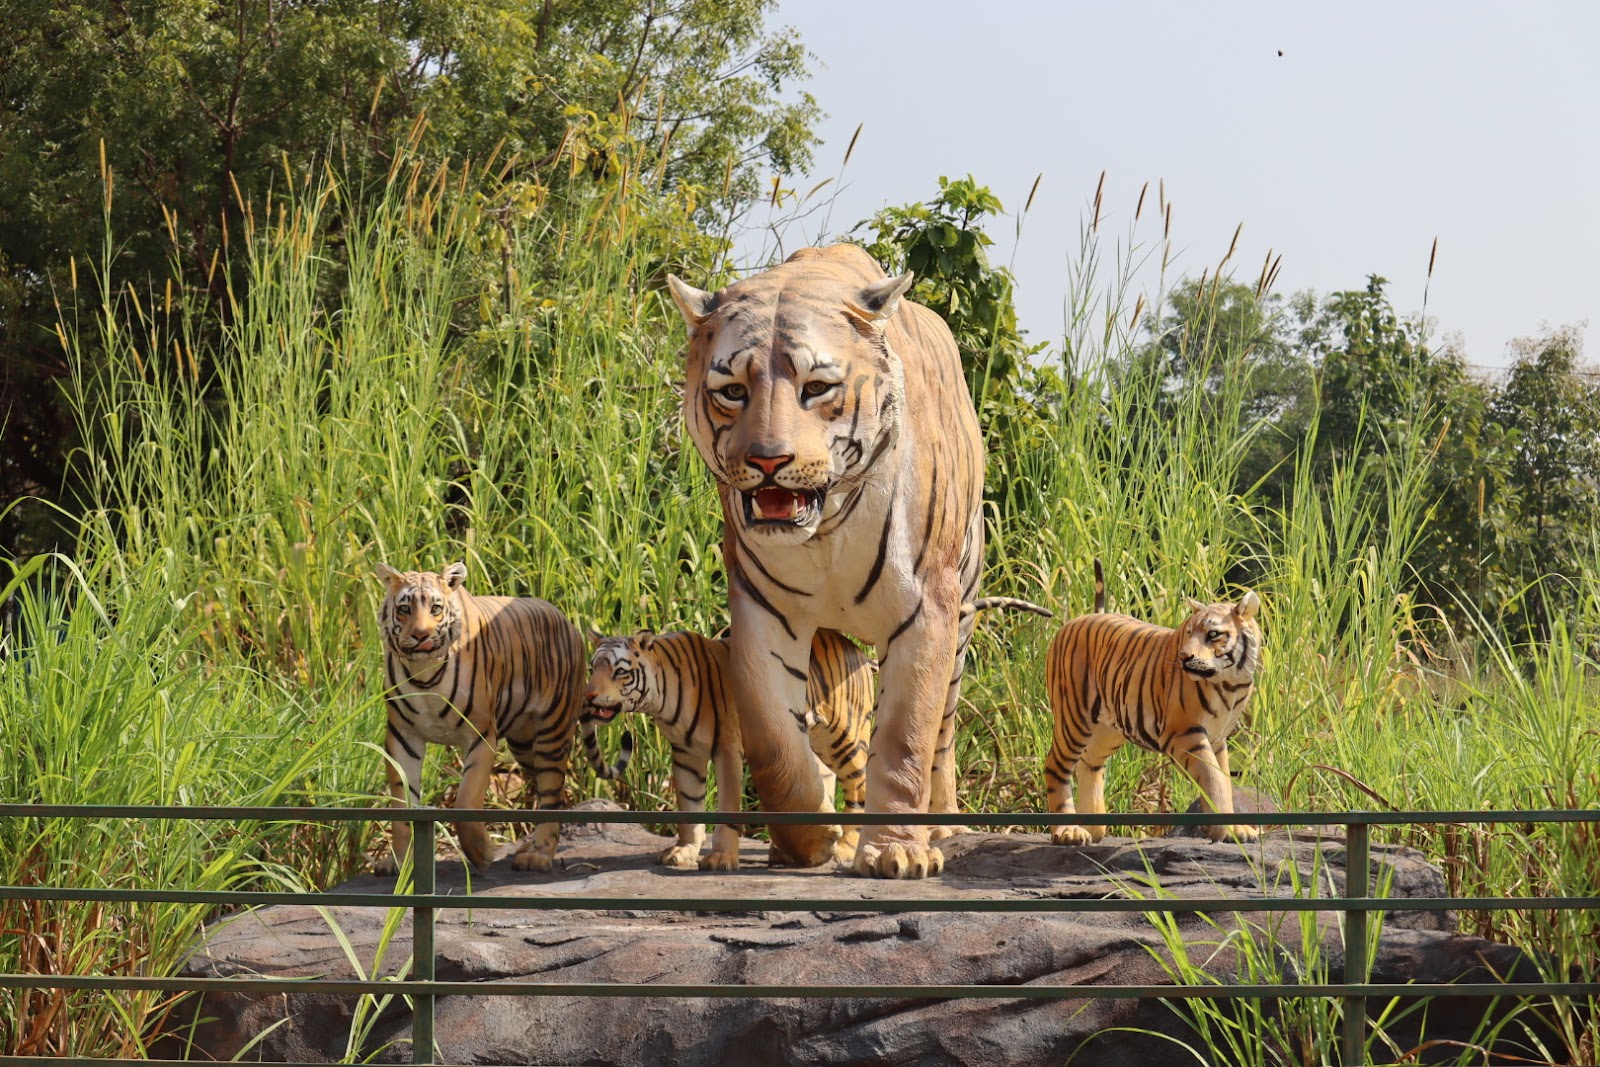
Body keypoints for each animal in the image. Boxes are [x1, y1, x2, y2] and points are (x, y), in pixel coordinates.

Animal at [372, 561, 618, 874]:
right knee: (549, 789)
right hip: (524, 745)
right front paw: (400, 861)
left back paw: (538, 856)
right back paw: (529, 846)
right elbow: (402, 806)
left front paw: (482, 852)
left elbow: (466, 799)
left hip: (552, 732)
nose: (420, 635)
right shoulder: (402, 737)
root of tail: (569, 623)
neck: (424, 672)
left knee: (552, 794)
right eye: (404, 609)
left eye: (436, 608)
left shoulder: (481, 734)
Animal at [582, 627, 875, 871]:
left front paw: (721, 858)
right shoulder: (686, 753)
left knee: (859, 785)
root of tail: (857, 650)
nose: (589, 696)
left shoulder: (727, 747)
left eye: (620, 672)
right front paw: (683, 851)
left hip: (844, 738)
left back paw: (845, 849)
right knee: (823, 777)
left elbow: (728, 803)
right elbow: (689, 804)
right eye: (593, 668)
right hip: (814, 741)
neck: (662, 698)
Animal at [666, 244, 986, 880]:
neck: (827, 530)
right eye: (732, 390)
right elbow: (775, 744)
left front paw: (896, 852)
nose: (768, 461)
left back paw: (942, 825)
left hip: (962, 618)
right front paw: (811, 841)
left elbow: (905, 736)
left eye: (816, 386)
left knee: (941, 733)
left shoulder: (927, 609)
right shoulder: (762, 611)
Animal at [1043, 559, 1264, 846]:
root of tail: (1078, 619)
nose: (1184, 656)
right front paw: (1225, 831)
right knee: (1055, 766)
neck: (1231, 680)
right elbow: (1214, 778)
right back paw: (1068, 831)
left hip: (1108, 729)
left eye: (1213, 634)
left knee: (1088, 762)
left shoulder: (1217, 739)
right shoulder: (1185, 734)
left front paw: (1236, 829)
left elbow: (1224, 779)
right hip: (1073, 718)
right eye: (1188, 633)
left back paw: (1093, 828)